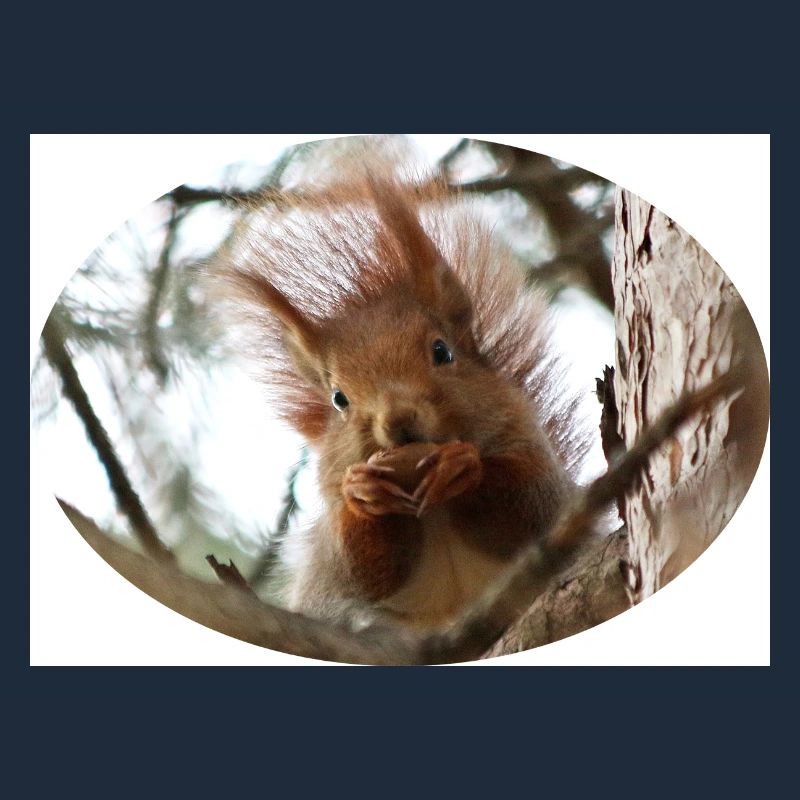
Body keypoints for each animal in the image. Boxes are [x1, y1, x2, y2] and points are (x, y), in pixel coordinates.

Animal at [219, 144, 587, 629]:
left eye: (443, 352)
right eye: (339, 399)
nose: (397, 421)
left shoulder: (534, 457)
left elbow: (535, 506)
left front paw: (462, 466)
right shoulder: (334, 552)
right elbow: (358, 569)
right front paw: (362, 491)